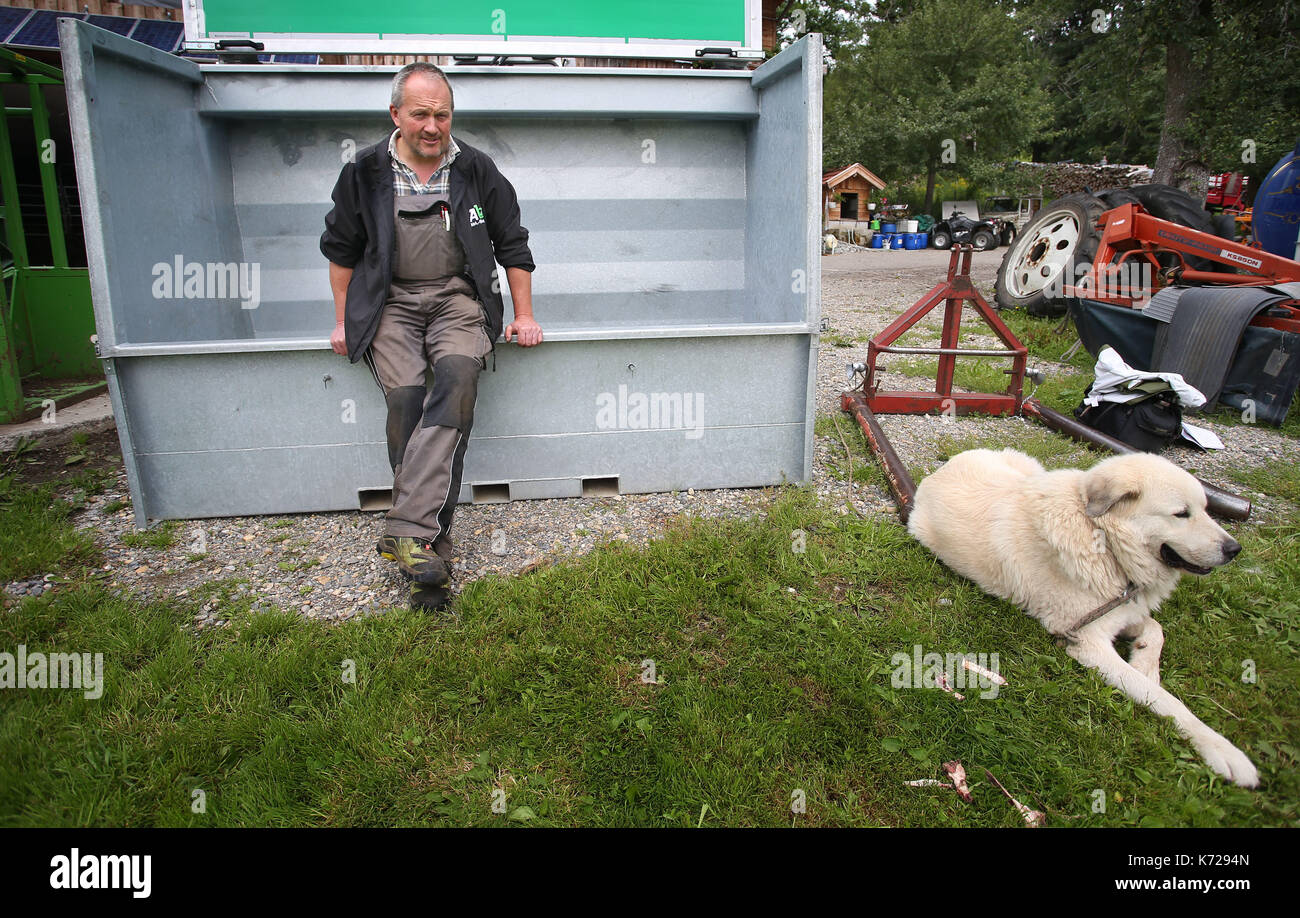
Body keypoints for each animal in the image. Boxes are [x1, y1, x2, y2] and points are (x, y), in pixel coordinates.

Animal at [909, 447, 1253, 785]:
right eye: (1181, 514)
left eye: (1206, 509)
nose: (1234, 549)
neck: (1103, 538)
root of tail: (946, 465)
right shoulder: (1088, 642)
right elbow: (1167, 700)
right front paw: (1224, 751)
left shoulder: (1120, 607)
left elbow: (1155, 630)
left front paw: (1146, 664)